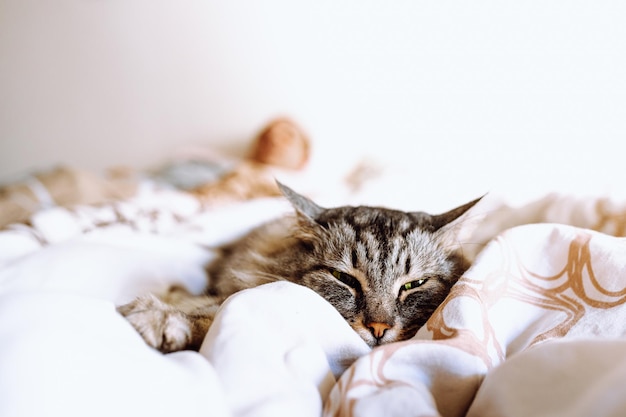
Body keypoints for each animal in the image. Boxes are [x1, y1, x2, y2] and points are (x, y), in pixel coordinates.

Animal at [118, 182, 482, 352]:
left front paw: (158, 319)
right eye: (343, 278)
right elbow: (204, 305)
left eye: (413, 285)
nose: (378, 329)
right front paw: (157, 313)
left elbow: (210, 316)